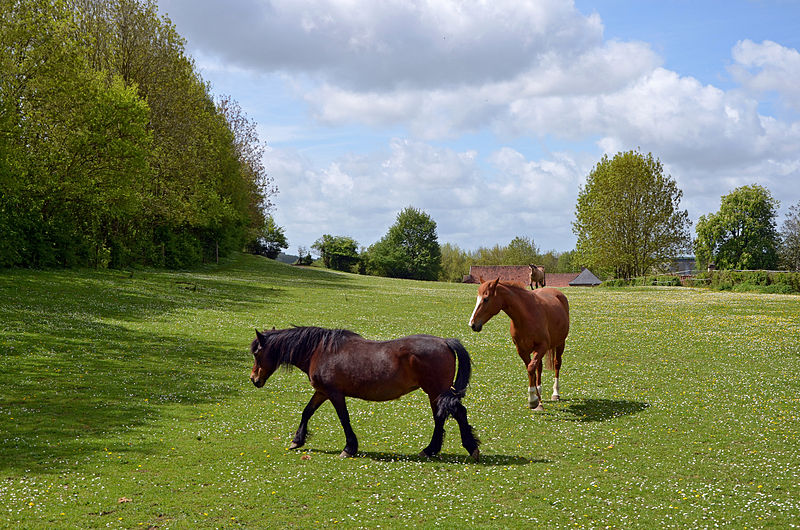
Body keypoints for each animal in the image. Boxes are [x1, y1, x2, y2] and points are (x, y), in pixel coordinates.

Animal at [247, 324, 478, 456]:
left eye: (257, 353)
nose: (254, 379)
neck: (319, 351)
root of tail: (445, 342)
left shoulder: (334, 393)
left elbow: (344, 419)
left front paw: (349, 448)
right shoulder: (322, 392)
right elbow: (307, 412)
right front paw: (297, 440)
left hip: (436, 390)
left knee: (456, 413)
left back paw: (467, 448)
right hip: (435, 393)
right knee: (443, 416)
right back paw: (433, 450)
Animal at [466, 278, 572, 410]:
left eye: (486, 299)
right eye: (477, 298)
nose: (472, 324)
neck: (526, 315)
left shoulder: (542, 346)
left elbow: (531, 368)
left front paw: (533, 400)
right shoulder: (522, 350)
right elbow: (531, 369)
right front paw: (536, 399)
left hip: (560, 343)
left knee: (557, 364)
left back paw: (555, 393)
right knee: (539, 367)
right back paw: (539, 392)